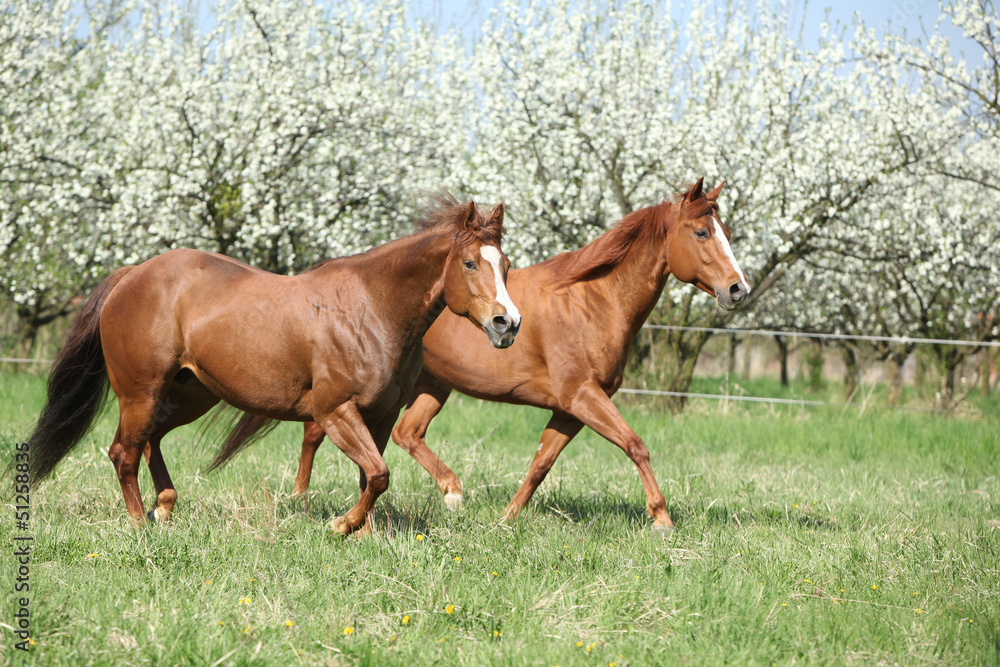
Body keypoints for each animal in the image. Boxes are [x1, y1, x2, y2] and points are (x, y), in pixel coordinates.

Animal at [27, 195, 520, 535]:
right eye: (470, 263)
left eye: (507, 264)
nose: (508, 324)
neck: (371, 309)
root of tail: (132, 274)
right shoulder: (334, 411)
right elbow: (379, 474)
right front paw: (341, 526)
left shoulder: (380, 416)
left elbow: (371, 477)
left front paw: (363, 531)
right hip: (141, 393)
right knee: (123, 452)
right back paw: (138, 524)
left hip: (188, 394)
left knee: (150, 442)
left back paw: (164, 506)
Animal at [288, 178, 749, 532]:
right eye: (703, 233)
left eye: (725, 229)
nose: (737, 289)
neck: (592, 302)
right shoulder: (583, 396)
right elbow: (635, 445)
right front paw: (662, 520)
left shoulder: (569, 408)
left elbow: (541, 463)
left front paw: (507, 519)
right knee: (316, 432)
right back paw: (300, 500)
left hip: (433, 385)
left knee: (407, 433)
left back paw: (452, 492)